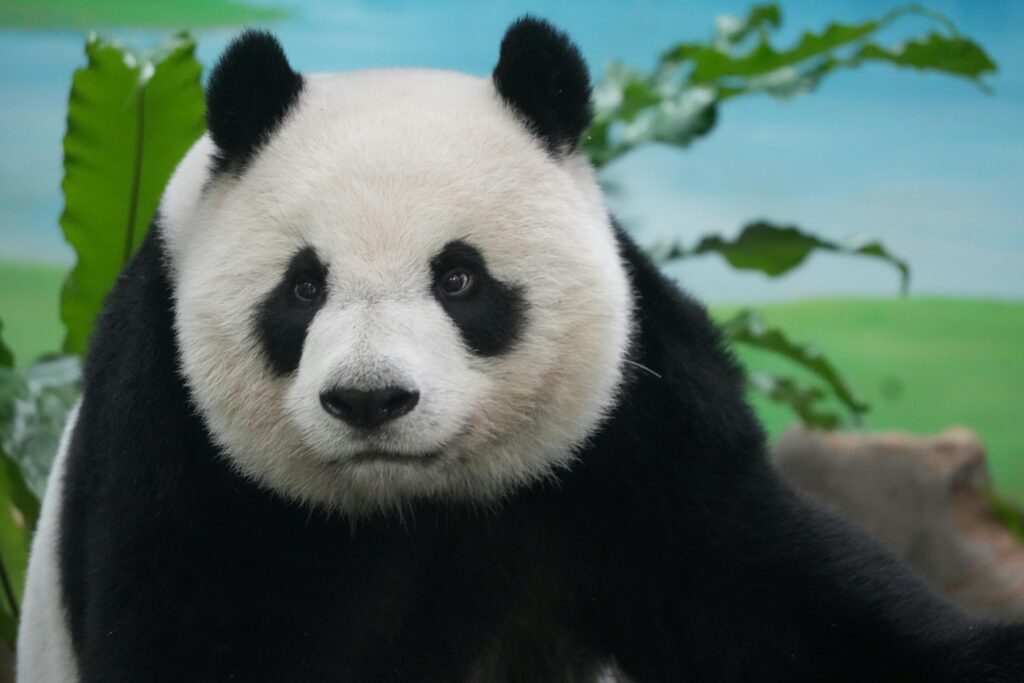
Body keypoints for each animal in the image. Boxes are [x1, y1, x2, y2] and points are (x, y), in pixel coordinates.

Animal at [16, 17, 1024, 683]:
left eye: (460, 278)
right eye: (303, 287)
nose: (370, 399)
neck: (408, 503)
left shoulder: (630, 427)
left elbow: (781, 601)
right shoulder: (175, 441)